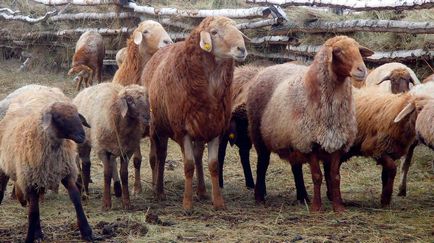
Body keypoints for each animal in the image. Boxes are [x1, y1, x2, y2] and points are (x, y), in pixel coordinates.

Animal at [0, 84, 94, 242]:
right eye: (59, 118)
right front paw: (31, 236)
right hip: (9, 168)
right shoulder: (30, 179)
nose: (82, 136)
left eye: (77, 115)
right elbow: (33, 210)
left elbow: (76, 199)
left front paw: (87, 232)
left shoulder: (65, 172)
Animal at [142, 16, 248, 211]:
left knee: (198, 155)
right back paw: (159, 191)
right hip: (158, 126)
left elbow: (213, 165)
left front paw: (218, 202)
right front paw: (187, 204)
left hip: (199, 127)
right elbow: (188, 166)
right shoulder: (182, 130)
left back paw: (202, 191)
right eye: (214, 32)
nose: (241, 49)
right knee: (161, 156)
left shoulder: (216, 127)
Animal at [246, 36, 372, 213]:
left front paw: (338, 207)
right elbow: (317, 176)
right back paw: (259, 196)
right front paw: (316, 207)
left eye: (359, 50)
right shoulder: (309, 142)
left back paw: (302, 196)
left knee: (296, 167)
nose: (362, 70)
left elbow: (335, 177)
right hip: (259, 133)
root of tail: (266, 68)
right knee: (262, 164)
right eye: (338, 51)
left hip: (293, 139)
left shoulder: (337, 142)